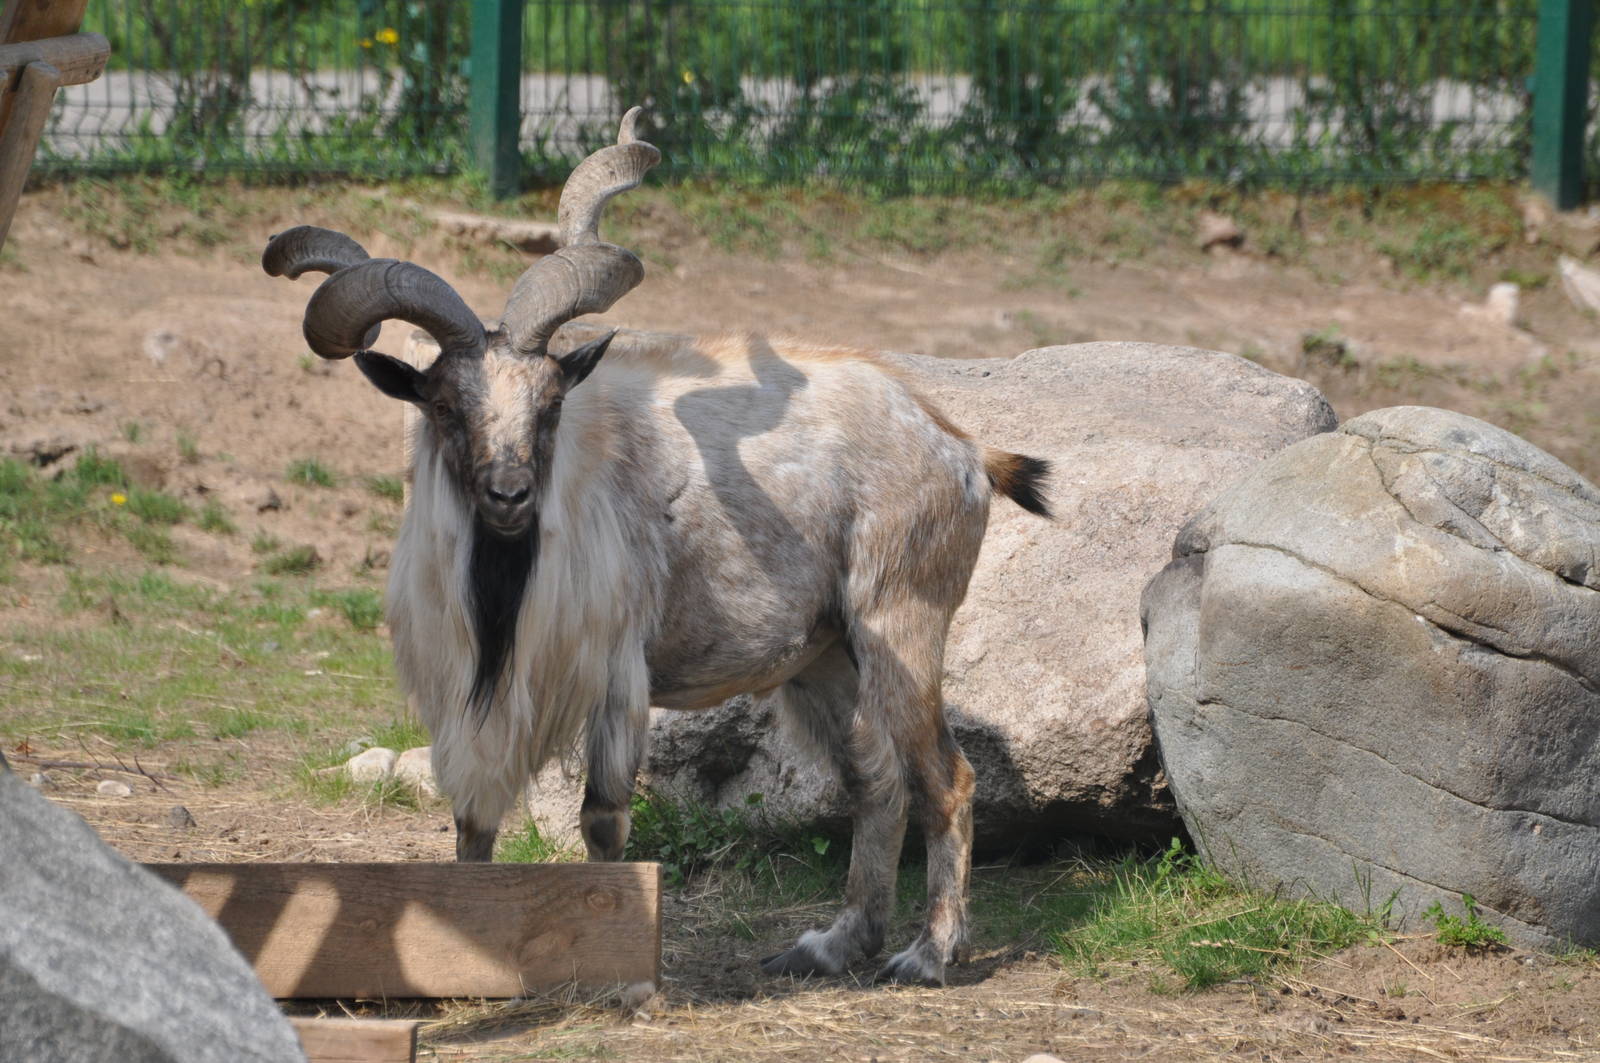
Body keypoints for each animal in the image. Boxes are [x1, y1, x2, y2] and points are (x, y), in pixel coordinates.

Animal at [262, 109, 1050, 986]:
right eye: (441, 403)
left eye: (550, 403)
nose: (510, 495)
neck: (503, 586)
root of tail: (962, 447)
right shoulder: (469, 699)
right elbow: (473, 823)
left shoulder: (613, 675)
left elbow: (602, 817)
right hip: (825, 653)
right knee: (875, 779)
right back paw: (831, 943)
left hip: (902, 621)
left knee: (945, 777)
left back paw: (929, 953)